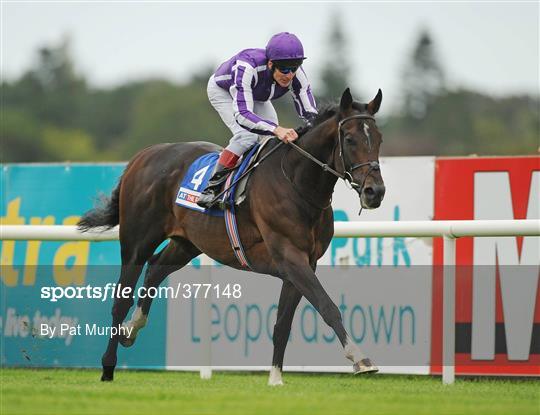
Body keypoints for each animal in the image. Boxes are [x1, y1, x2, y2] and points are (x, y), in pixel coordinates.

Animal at [78, 88, 386, 386]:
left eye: (379, 139)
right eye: (350, 139)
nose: (375, 191)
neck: (297, 183)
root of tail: (142, 155)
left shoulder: (303, 264)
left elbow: (282, 324)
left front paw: (275, 378)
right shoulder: (289, 256)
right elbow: (327, 306)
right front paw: (360, 358)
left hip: (188, 242)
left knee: (155, 269)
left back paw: (132, 329)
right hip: (136, 242)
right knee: (121, 298)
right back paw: (108, 366)